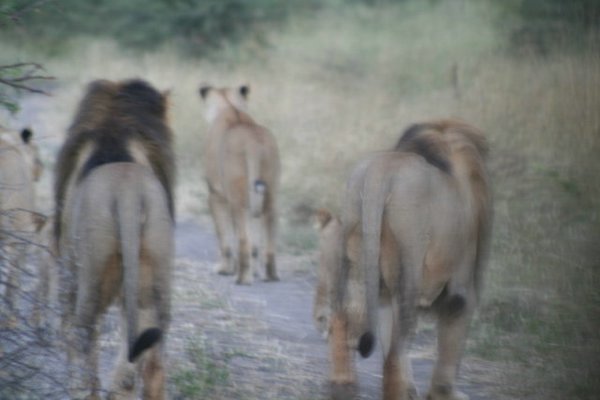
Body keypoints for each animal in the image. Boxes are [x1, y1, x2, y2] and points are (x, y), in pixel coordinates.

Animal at [53, 79, 176, 400]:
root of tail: (127, 194)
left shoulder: (66, 270)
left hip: (90, 277)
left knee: (83, 341)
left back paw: (80, 389)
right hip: (153, 280)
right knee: (150, 363)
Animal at [198, 84, 280, 284]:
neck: (229, 106)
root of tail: (254, 142)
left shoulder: (215, 195)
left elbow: (224, 236)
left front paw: (224, 269)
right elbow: (255, 242)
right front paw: (255, 271)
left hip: (238, 199)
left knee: (243, 240)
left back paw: (242, 278)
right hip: (270, 195)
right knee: (269, 240)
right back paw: (270, 276)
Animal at [324, 119, 492, 400]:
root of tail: (380, 173)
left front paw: (413, 388)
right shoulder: (462, 289)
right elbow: (451, 344)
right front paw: (443, 393)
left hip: (355, 253)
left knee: (342, 318)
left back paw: (342, 383)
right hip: (409, 265)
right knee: (393, 353)